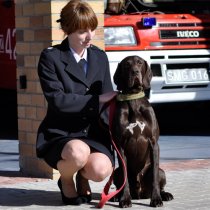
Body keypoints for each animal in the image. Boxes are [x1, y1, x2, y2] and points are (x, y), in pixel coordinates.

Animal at [110, 56, 173, 208]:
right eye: (127, 65)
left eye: (139, 62)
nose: (135, 72)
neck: (134, 99)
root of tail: (140, 193)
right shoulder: (120, 146)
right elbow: (125, 180)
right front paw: (125, 199)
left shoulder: (154, 143)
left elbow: (154, 176)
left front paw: (156, 199)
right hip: (116, 172)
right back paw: (116, 196)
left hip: (162, 172)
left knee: (159, 178)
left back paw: (164, 195)